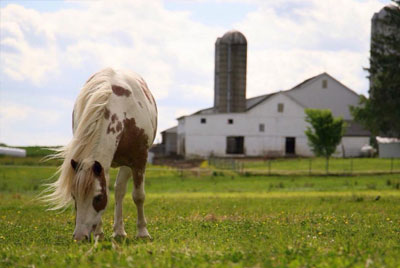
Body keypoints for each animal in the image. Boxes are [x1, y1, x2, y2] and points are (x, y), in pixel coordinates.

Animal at [42, 67, 158, 241]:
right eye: (74, 196)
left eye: (98, 197)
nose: (80, 237)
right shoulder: (103, 164)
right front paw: (99, 233)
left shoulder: (138, 159)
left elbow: (138, 196)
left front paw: (143, 233)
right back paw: (116, 231)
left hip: (126, 164)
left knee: (119, 191)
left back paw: (120, 231)